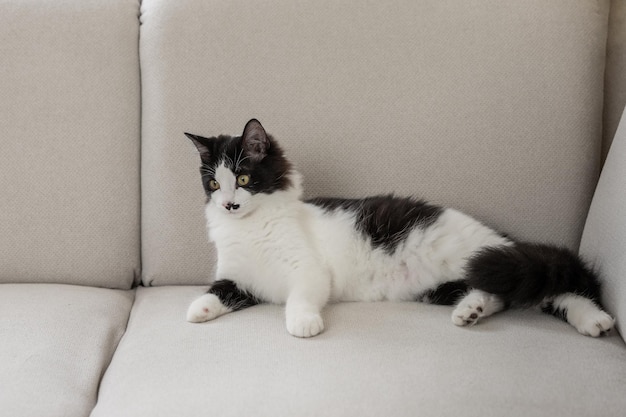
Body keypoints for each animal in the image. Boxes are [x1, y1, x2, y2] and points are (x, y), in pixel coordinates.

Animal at [183, 118, 612, 338]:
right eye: (214, 184)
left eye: (243, 179)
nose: (229, 205)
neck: (252, 227)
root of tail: (502, 239)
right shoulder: (238, 276)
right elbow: (220, 290)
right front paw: (198, 308)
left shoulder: (308, 271)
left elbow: (299, 298)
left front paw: (303, 322)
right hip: (447, 286)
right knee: (502, 296)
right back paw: (471, 312)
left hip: (483, 260)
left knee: (549, 289)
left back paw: (596, 320)